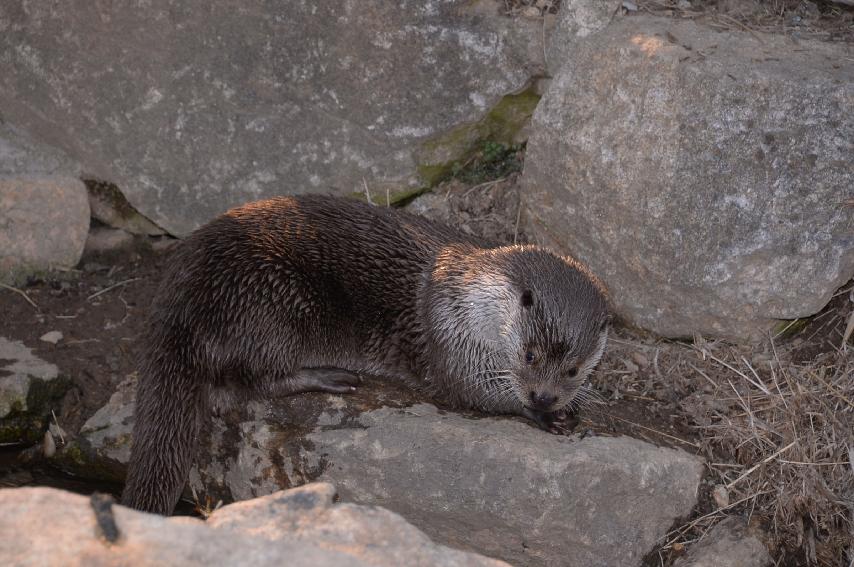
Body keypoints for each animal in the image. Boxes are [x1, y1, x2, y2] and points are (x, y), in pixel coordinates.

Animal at [123, 195, 612, 516]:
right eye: (529, 356)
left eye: (573, 369)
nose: (543, 397)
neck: (467, 296)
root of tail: (175, 301)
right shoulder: (449, 338)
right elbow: (471, 391)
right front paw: (542, 415)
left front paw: (569, 406)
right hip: (271, 304)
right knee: (252, 379)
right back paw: (328, 377)